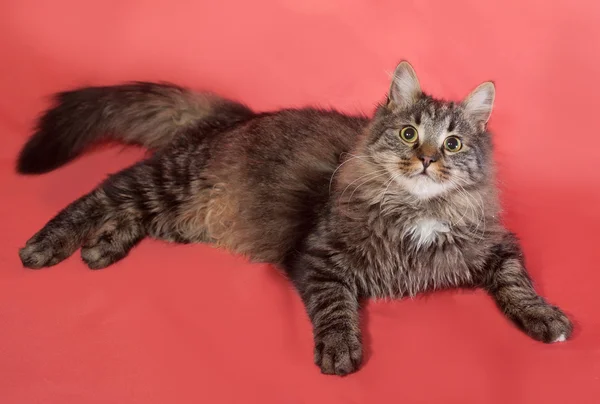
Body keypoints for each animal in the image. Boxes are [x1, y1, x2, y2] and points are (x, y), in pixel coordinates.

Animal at [17, 60, 572, 376]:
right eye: (410, 134)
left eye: (453, 143)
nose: (427, 160)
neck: (415, 212)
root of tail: (237, 117)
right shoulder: (317, 256)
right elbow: (335, 305)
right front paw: (340, 349)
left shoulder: (498, 245)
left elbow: (519, 285)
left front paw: (545, 317)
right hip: (169, 181)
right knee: (98, 196)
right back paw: (45, 245)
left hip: (184, 213)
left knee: (136, 218)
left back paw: (102, 247)